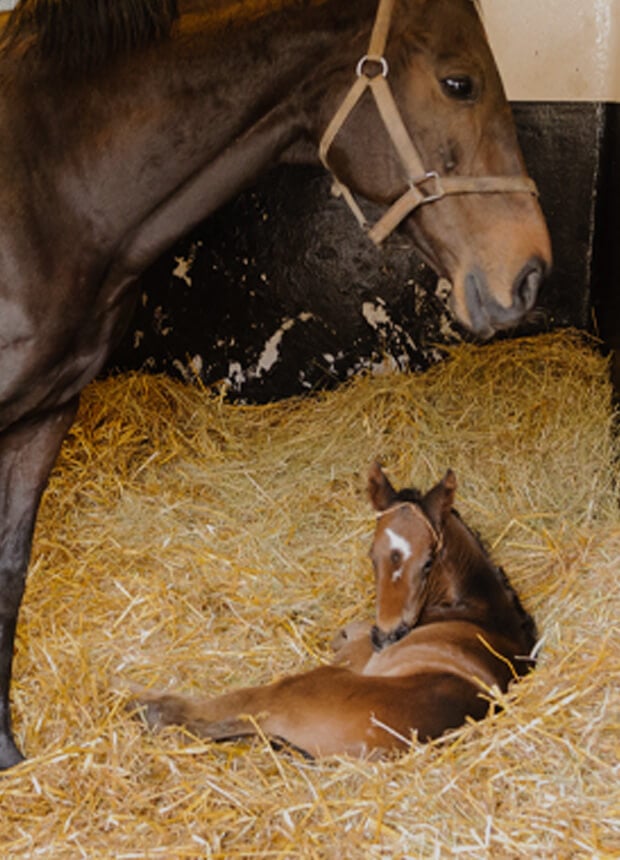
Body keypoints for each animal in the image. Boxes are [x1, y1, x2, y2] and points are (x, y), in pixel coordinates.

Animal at [132, 466, 536, 756]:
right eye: (372, 555)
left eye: (427, 562)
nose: (385, 636)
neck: (477, 609)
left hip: (295, 688)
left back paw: (146, 706)